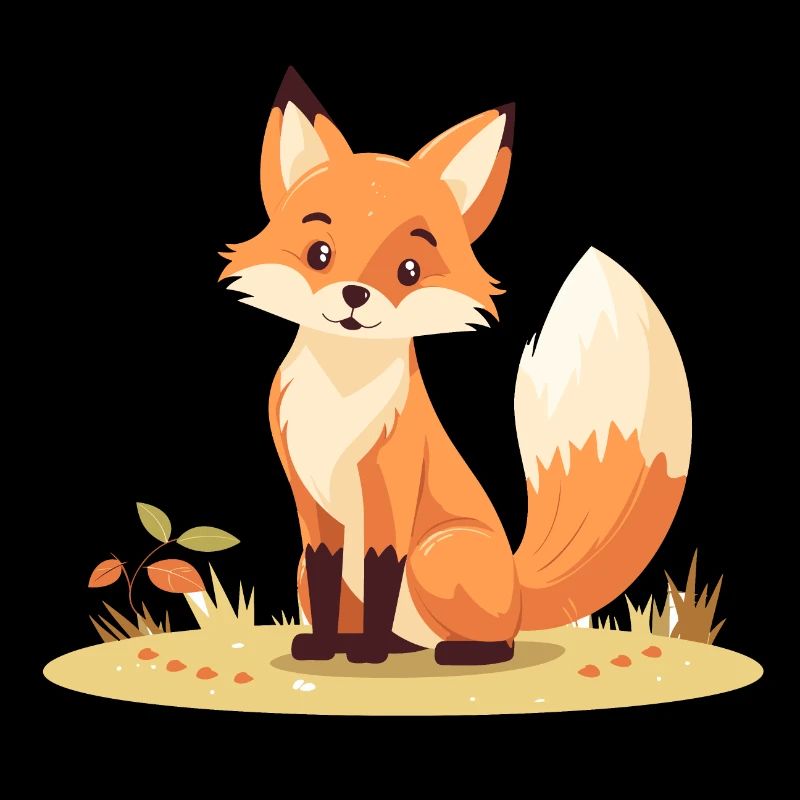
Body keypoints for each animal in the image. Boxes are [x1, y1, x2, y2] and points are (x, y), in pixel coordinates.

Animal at [219, 68, 692, 665]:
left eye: (409, 269)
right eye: (319, 254)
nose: (354, 296)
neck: (342, 395)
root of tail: (519, 590)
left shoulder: (391, 491)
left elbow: (380, 569)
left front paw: (367, 654)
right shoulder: (312, 509)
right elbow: (330, 578)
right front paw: (326, 649)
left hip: (435, 553)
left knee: (497, 642)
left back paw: (450, 652)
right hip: (308, 567)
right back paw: (379, 644)